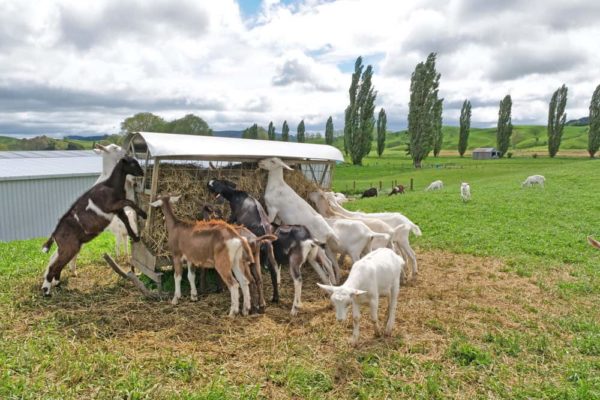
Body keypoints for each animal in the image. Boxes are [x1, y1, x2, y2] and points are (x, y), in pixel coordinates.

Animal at [40, 156, 146, 296]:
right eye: (133, 163)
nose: (142, 172)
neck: (110, 185)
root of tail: (55, 233)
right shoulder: (112, 205)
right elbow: (130, 202)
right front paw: (144, 214)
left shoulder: (118, 210)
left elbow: (126, 220)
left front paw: (135, 237)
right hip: (69, 248)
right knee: (54, 265)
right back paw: (47, 291)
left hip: (66, 248)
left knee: (56, 264)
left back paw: (56, 284)